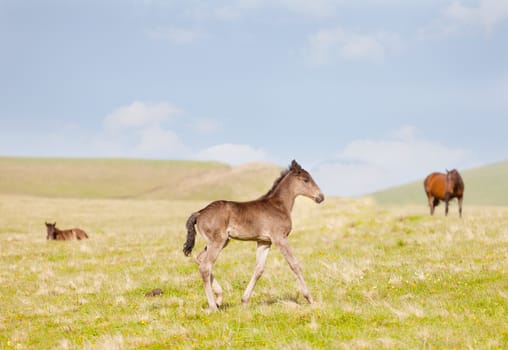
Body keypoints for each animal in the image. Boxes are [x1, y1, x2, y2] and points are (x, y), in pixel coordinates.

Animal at [185, 160, 324, 310]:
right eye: (306, 180)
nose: (321, 197)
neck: (279, 206)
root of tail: (200, 212)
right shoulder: (280, 239)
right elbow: (294, 264)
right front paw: (310, 298)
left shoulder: (264, 242)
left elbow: (259, 269)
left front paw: (245, 301)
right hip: (218, 241)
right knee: (205, 266)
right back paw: (213, 306)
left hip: (219, 242)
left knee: (199, 259)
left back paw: (219, 298)